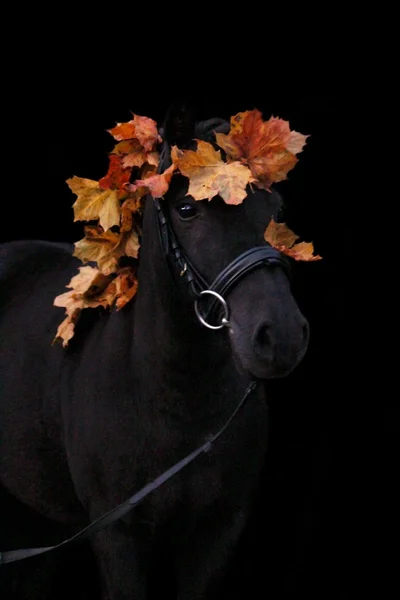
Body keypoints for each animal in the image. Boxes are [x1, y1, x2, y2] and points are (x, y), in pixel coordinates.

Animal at [0, 109, 310, 600]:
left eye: (275, 210)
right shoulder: (117, 536)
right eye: (187, 209)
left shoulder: (218, 534)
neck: (175, 397)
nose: (279, 337)